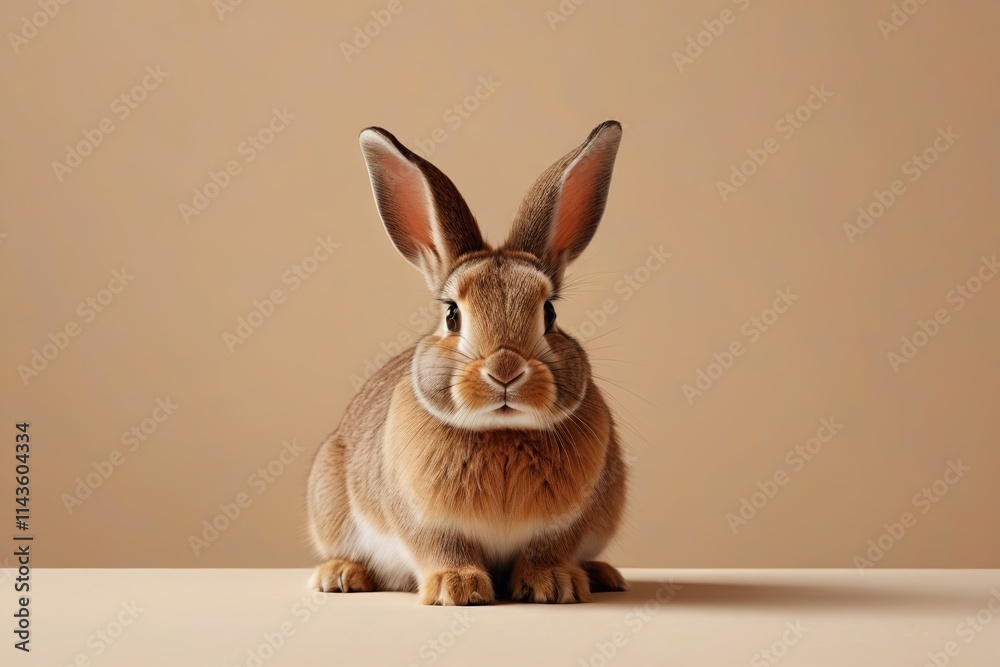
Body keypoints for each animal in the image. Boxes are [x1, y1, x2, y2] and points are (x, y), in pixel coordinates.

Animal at [306, 121, 628, 605]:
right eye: (452, 315)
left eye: (550, 313)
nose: (505, 371)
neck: (501, 432)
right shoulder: (424, 520)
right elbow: (443, 547)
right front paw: (457, 588)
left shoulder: (567, 522)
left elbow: (547, 549)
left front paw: (553, 584)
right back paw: (341, 575)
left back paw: (601, 574)